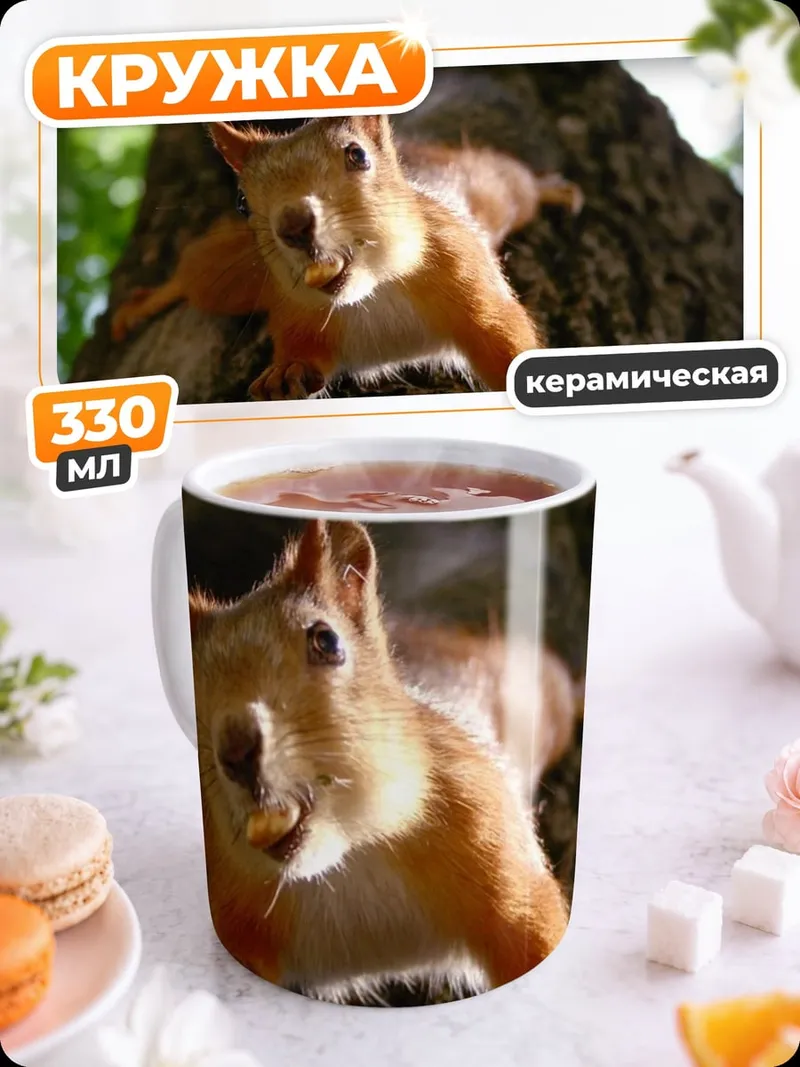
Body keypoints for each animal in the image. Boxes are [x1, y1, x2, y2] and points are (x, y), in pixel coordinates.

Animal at [111, 115, 582, 400]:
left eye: (357, 155)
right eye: (243, 202)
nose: (294, 224)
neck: (373, 289)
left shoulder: (464, 271)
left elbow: (502, 333)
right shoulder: (293, 309)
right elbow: (303, 350)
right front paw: (288, 371)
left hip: (492, 188)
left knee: (517, 180)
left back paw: (554, 190)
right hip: (232, 274)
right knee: (194, 278)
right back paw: (142, 304)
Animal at [189, 518, 575, 1001]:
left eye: (327, 640)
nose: (238, 750)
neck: (347, 855)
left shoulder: (488, 835)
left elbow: (536, 930)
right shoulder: (240, 912)